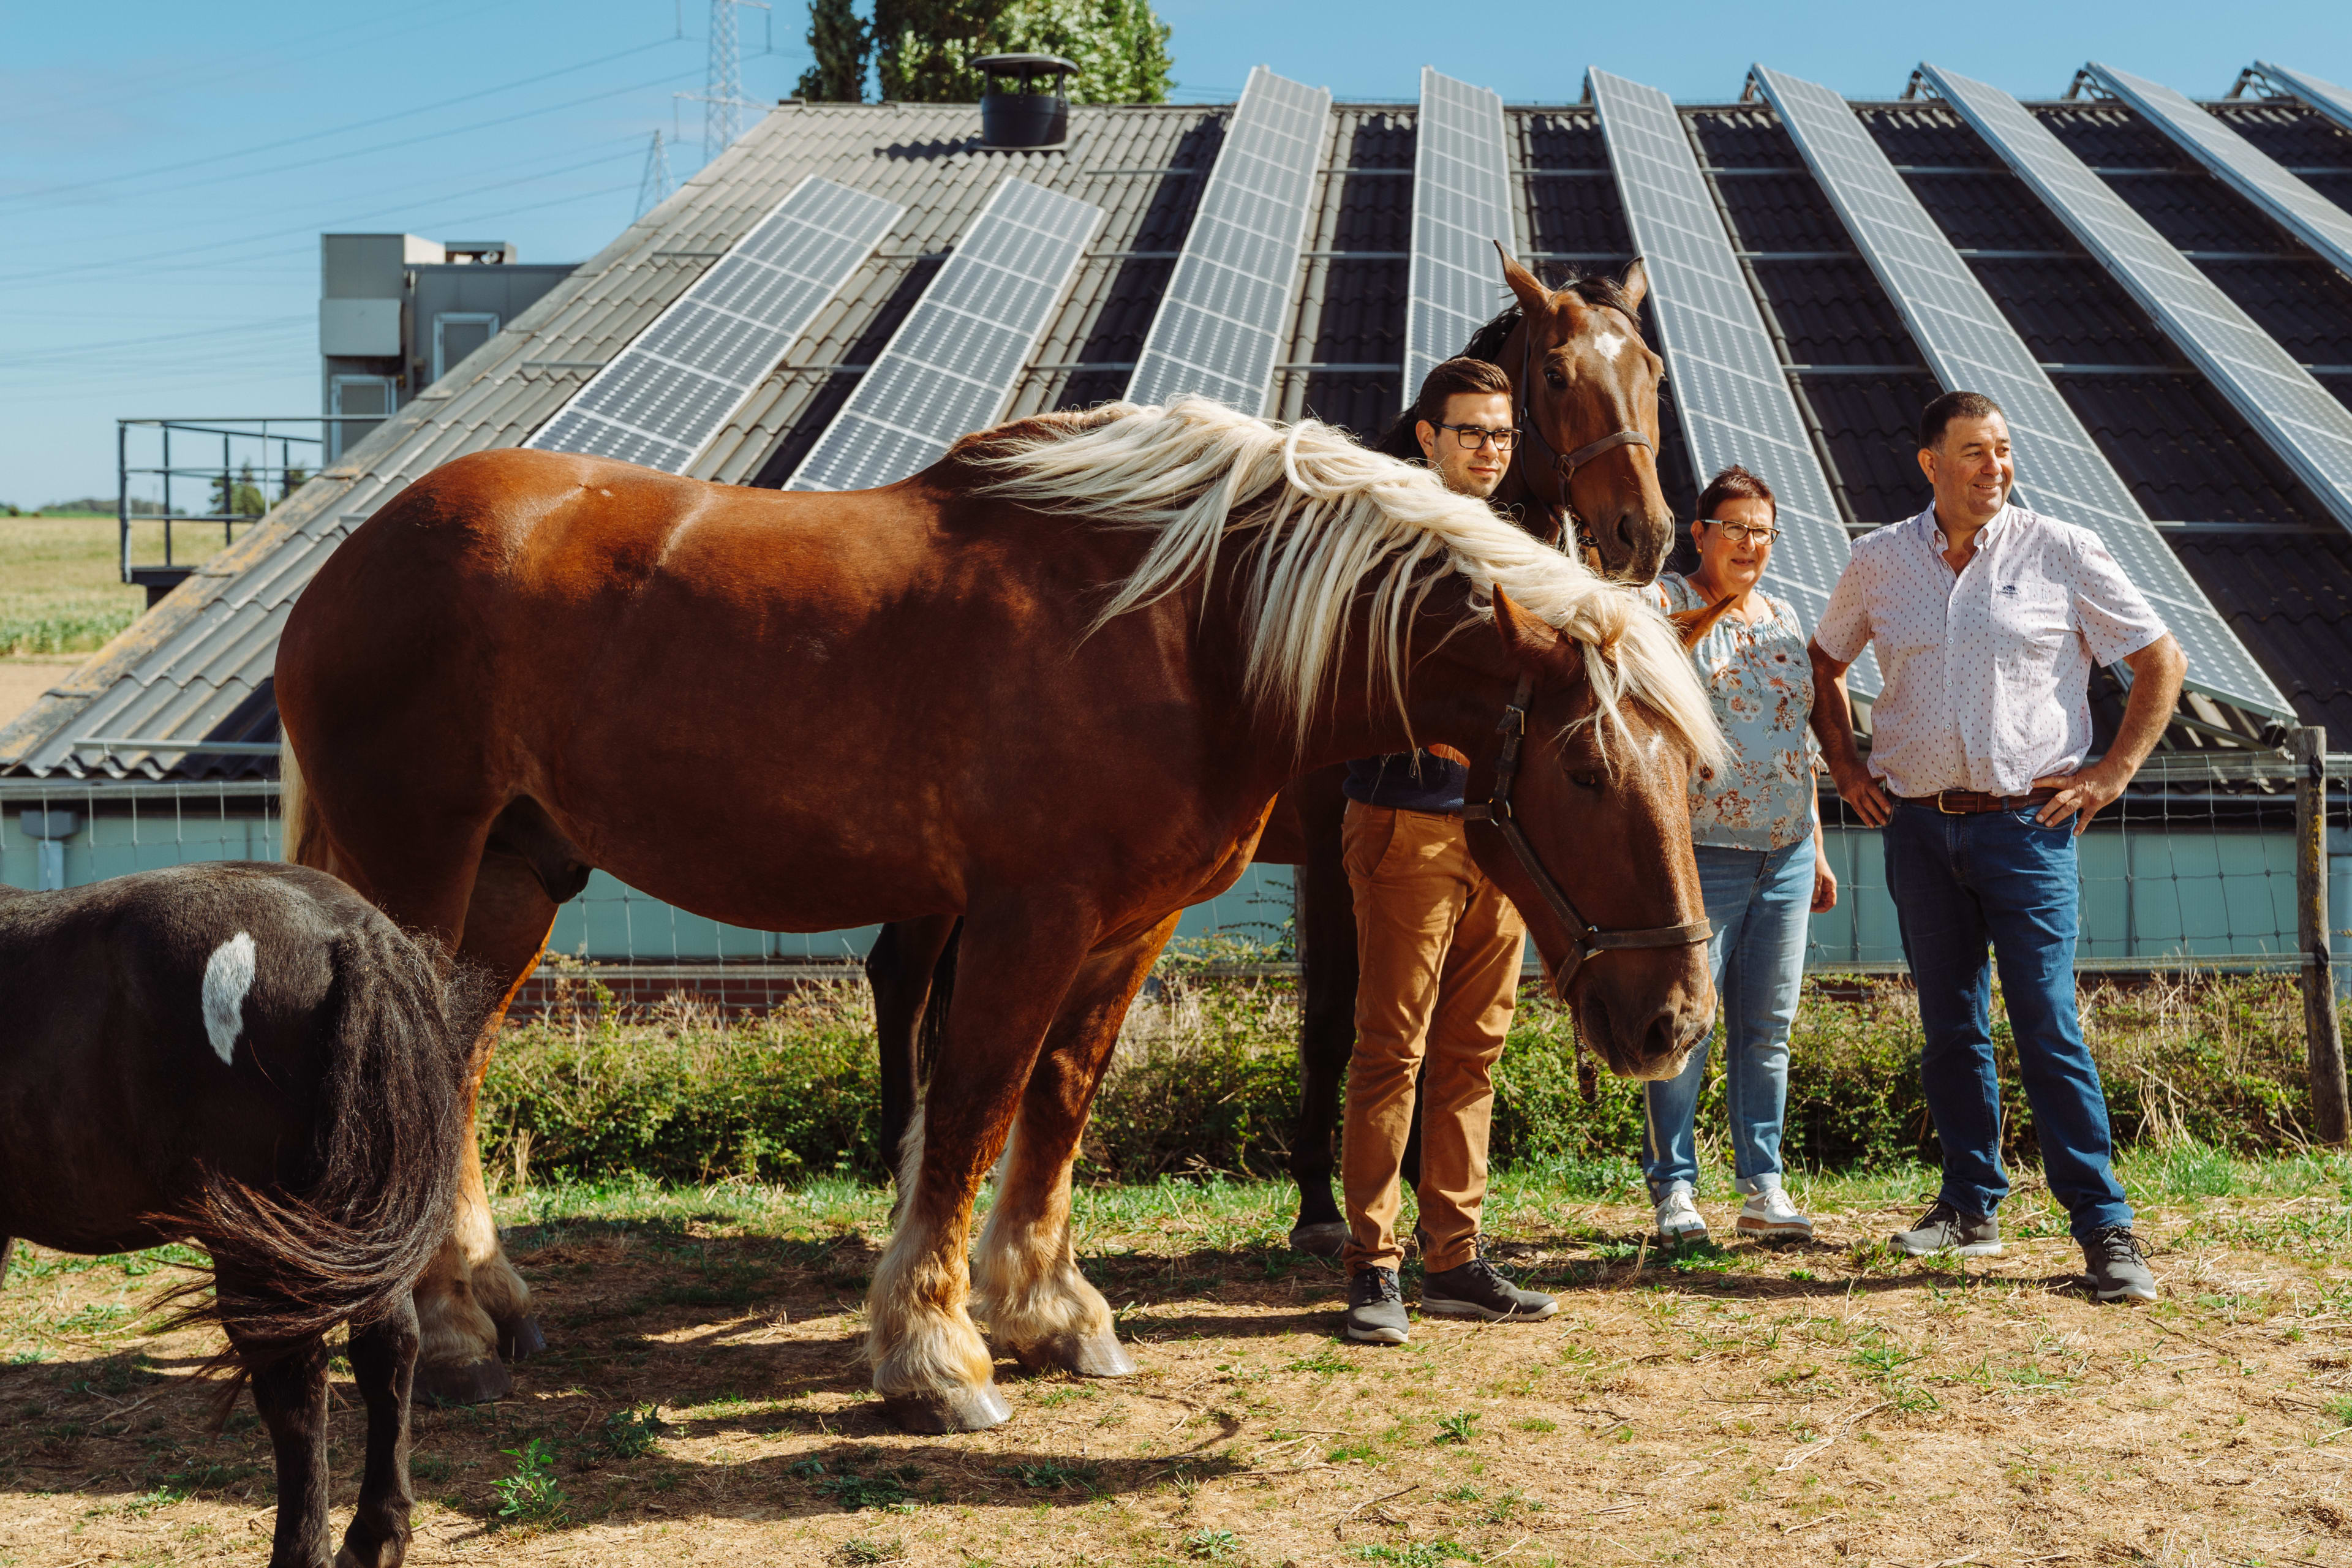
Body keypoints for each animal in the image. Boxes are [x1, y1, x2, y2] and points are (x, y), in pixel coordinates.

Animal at [0, 865, 482, 1561]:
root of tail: (355, 933)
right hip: (355, 1230)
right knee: (388, 1350)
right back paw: (374, 1538)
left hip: (265, 1250)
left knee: (296, 1388)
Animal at [275, 310, 1721, 1438]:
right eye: (1588, 773)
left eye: (1689, 772)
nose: (1672, 1022)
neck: (1190, 624)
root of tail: (356, 557)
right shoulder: (1030, 918)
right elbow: (973, 1109)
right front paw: (934, 1353)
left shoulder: (1127, 928)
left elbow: (1059, 1105)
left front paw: (1050, 1311)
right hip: (422, 859)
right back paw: (438, 1330)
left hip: (515, 878)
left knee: (458, 1065)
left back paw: (485, 1303)